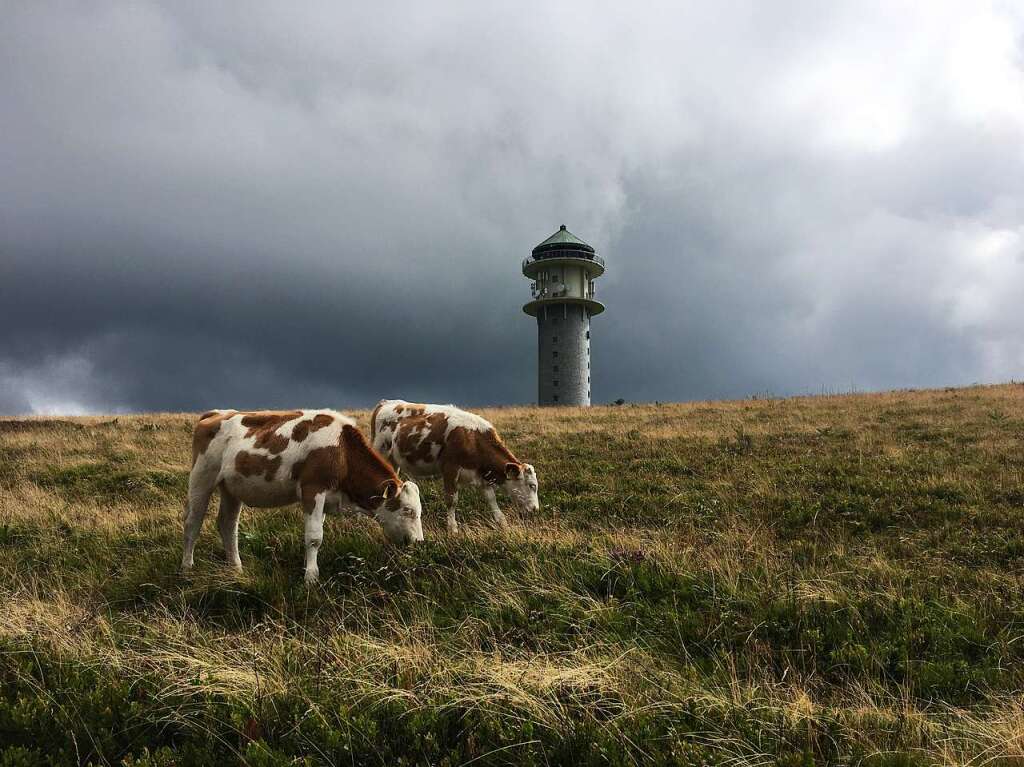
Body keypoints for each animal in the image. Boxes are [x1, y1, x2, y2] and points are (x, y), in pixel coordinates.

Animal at [182, 407, 421, 581]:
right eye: (408, 510)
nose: (419, 542)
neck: (342, 450)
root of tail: (216, 414)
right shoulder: (313, 489)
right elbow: (314, 537)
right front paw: (311, 578)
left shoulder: (325, 498)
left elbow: (315, 534)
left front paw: (309, 570)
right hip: (202, 477)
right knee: (193, 522)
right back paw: (187, 568)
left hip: (231, 488)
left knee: (228, 524)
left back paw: (236, 568)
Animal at [370, 401, 540, 532]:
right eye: (532, 485)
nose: (535, 510)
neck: (472, 439)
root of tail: (385, 403)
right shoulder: (450, 468)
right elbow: (452, 500)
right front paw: (452, 528)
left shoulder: (480, 474)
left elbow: (491, 498)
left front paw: (502, 522)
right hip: (379, 451)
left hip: (392, 460)